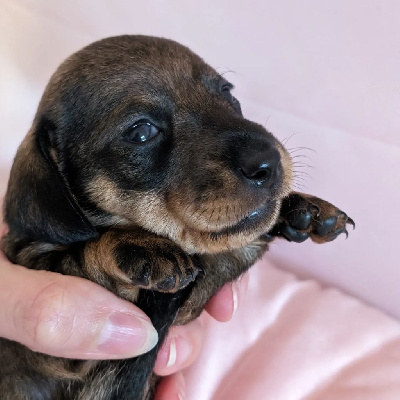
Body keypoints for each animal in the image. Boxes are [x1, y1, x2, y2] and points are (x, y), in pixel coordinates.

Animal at [0, 36, 354, 398]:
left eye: (227, 92)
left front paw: (301, 209)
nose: (268, 161)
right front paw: (139, 245)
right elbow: (83, 255)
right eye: (141, 132)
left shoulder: (188, 302)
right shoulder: (57, 352)